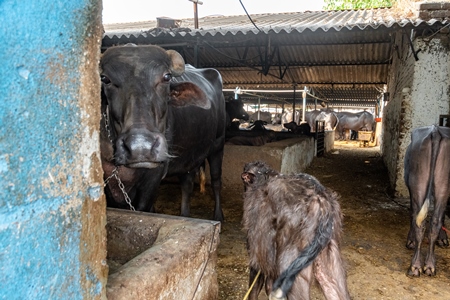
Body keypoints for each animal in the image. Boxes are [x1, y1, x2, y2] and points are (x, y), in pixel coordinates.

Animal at [102, 45, 229, 223]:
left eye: (166, 77)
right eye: (105, 79)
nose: (141, 147)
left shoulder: (154, 177)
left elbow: (143, 209)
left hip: (218, 144)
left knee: (216, 180)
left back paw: (218, 215)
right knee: (187, 184)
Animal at [241, 161, 350, 300]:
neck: (264, 176)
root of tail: (323, 203)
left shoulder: (257, 252)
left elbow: (254, 288)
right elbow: (269, 286)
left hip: (290, 263)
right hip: (328, 260)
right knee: (332, 286)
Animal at [404, 125, 450, 276]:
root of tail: (435, 131)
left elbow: (413, 214)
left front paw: (411, 241)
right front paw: (443, 238)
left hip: (418, 183)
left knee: (421, 222)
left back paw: (415, 267)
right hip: (443, 186)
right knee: (435, 221)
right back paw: (429, 266)